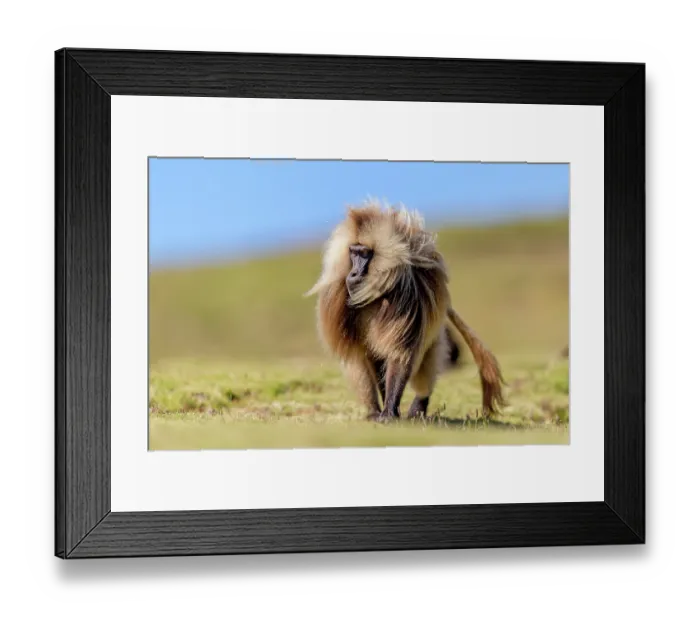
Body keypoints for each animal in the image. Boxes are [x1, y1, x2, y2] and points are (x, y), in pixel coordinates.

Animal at [305, 201, 506, 422]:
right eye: (353, 252)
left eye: (365, 253)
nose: (354, 274)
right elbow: (371, 355)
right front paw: (384, 409)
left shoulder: (405, 297)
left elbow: (400, 353)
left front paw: (389, 412)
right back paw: (374, 410)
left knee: (426, 358)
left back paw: (419, 407)